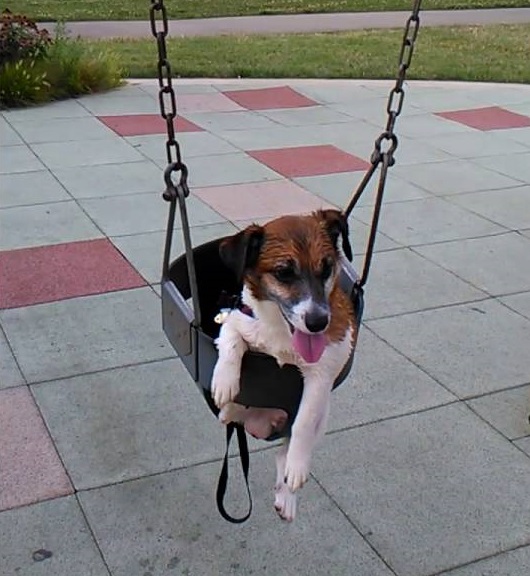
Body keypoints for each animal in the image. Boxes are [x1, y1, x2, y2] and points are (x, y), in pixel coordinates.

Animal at [210, 208, 354, 520]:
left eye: (326, 268)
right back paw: (230, 409)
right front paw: (225, 382)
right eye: (283, 273)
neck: (282, 332)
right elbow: (231, 339)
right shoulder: (238, 319)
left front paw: (296, 466)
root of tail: (262, 423)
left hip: (322, 416)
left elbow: (303, 424)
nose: (318, 323)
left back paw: (287, 494)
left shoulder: (321, 376)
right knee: (238, 412)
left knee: (282, 451)